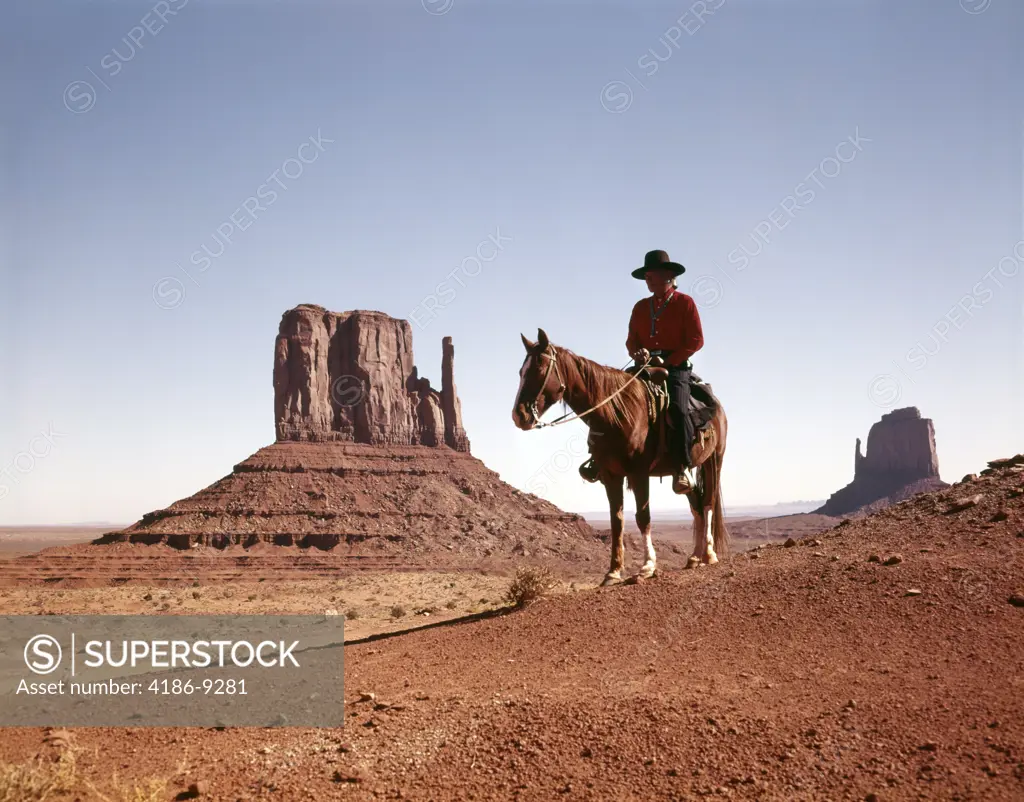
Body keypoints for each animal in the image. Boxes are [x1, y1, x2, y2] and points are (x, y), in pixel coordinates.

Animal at [512, 329, 729, 585]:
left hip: (714, 461)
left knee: (707, 503)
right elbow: (617, 521)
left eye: (540, 368)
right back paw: (695, 557)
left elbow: (643, 516)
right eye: (521, 372)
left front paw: (647, 566)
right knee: (696, 504)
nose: (519, 415)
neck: (615, 412)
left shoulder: (639, 472)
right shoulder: (610, 475)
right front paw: (613, 571)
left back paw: (709, 554)